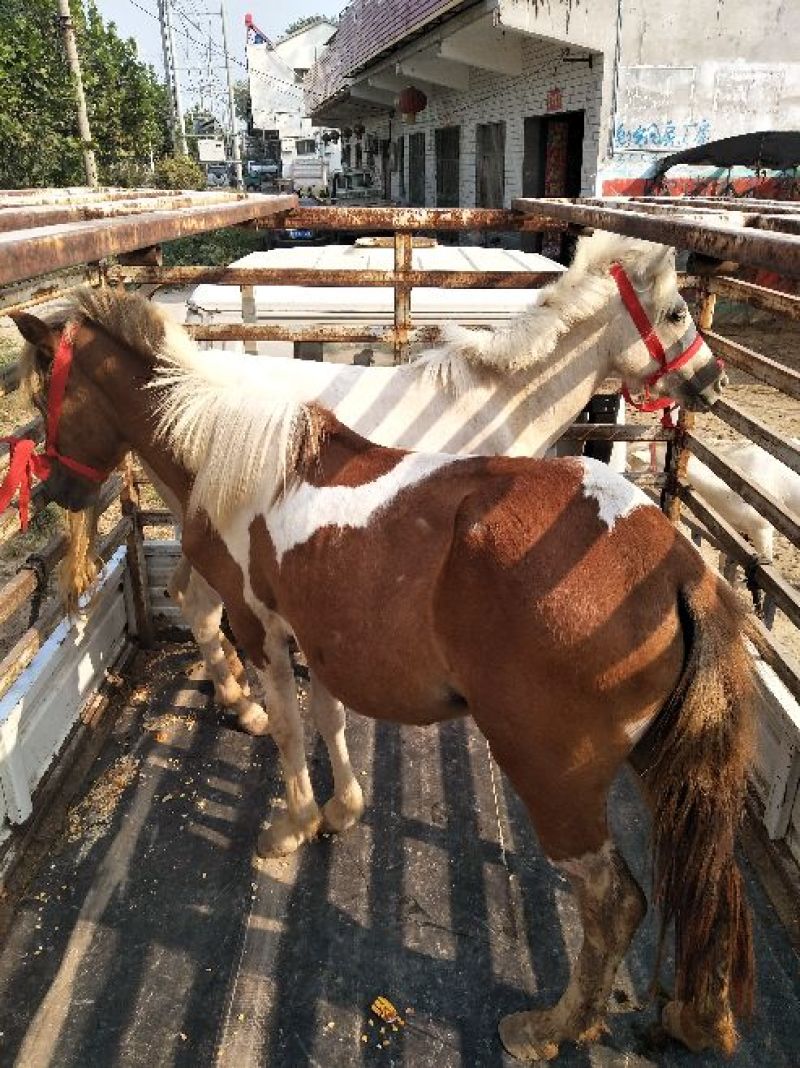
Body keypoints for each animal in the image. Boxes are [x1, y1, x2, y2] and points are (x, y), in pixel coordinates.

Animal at [12, 299, 752, 1062]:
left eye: (45, 402)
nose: (53, 491)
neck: (233, 452)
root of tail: (677, 569)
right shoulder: (319, 634)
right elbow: (329, 720)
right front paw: (342, 808)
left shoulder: (260, 629)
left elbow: (288, 729)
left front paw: (295, 823)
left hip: (557, 784)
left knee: (613, 903)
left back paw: (551, 1028)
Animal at [121, 231, 727, 737]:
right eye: (676, 313)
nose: (714, 381)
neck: (497, 403)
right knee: (201, 602)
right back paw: (245, 707)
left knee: (188, 597)